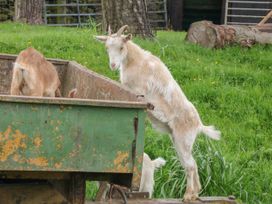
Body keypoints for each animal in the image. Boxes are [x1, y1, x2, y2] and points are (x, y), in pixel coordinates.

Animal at [96, 25, 221, 201]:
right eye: (107, 47)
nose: (113, 65)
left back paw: (188, 195)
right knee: (191, 164)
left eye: (121, 47)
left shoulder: (138, 90)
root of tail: (198, 125)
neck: (137, 61)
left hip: (183, 139)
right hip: (177, 140)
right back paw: (195, 194)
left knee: (190, 165)